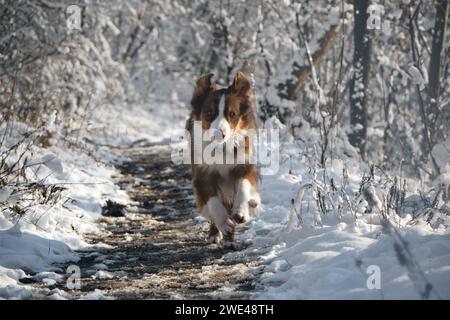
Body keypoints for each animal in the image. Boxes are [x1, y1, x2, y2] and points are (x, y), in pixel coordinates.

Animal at [185, 71, 260, 244]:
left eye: (232, 114)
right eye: (208, 113)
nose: (220, 133)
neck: (221, 148)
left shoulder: (244, 164)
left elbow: (243, 185)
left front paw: (241, 212)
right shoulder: (202, 174)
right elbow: (213, 202)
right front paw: (224, 224)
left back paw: (252, 203)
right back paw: (216, 233)